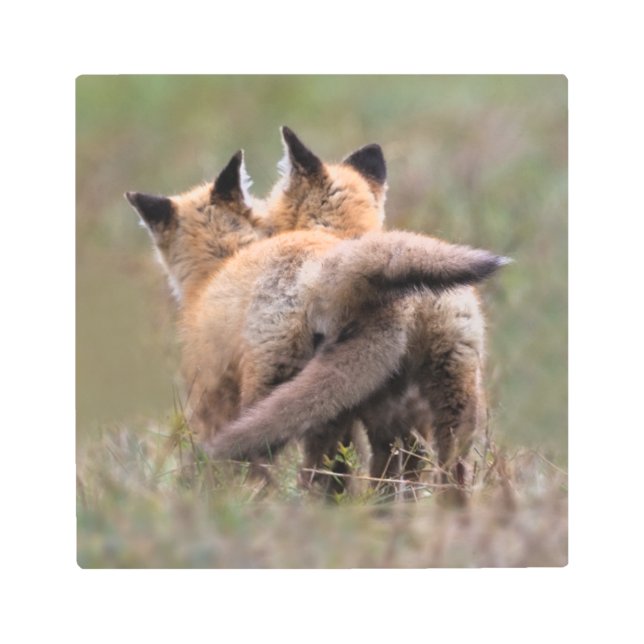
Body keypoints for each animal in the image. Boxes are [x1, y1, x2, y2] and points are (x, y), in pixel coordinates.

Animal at [125, 134, 506, 503]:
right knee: (429, 474)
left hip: (278, 392)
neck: (221, 263)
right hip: (436, 402)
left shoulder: (210, 391)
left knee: (273, 467)